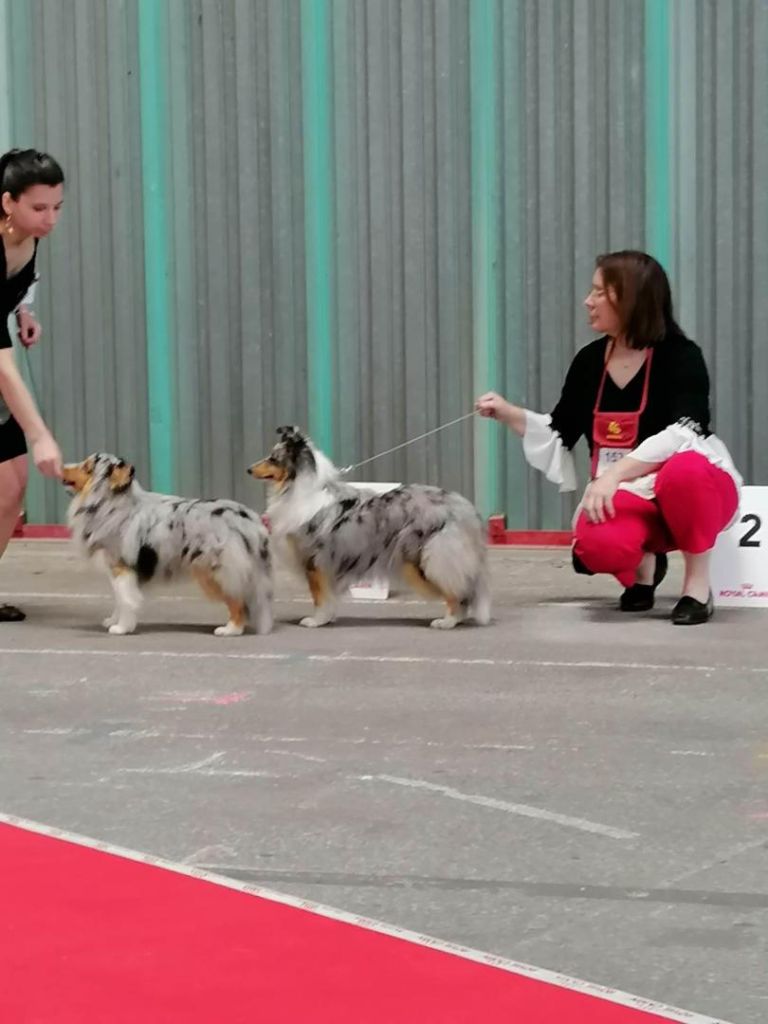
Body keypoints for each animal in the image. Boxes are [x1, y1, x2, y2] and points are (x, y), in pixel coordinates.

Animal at [63, 454, 274, 634]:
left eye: (86, 467)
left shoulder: (123, 568)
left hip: (217, 571)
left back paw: (230, 630)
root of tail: (249, 518)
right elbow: (119, 599)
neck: (111, 503)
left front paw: (121, 628)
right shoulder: (116, 569)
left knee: (238, 601)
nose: (62, 467)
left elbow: (126, 600)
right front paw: (113, 621)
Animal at [252, 421, 493, 626]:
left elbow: (319, 596)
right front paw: (328, 618)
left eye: (273, 458)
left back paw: (447, 622)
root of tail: (464, 507)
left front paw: (315, 621)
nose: (248, 469)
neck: (298, 489)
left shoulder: (314, 561)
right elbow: (328, 597)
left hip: (426, 560)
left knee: (457, 592)